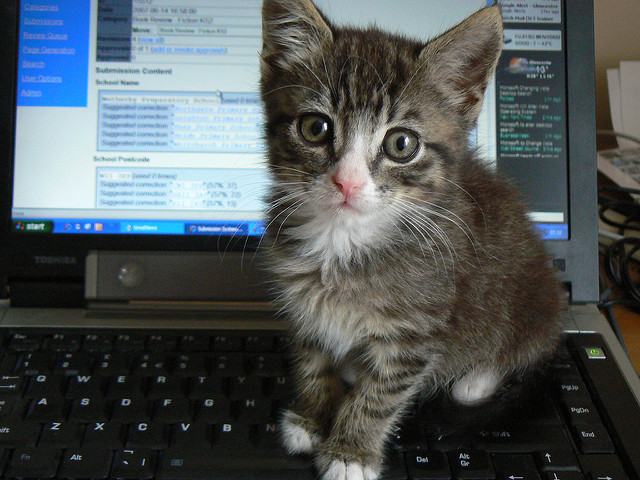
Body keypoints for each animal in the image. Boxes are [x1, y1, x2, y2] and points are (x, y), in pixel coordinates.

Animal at [258, 1, 564, 478]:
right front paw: (311, 417)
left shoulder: (418, 328)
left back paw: (476, 380)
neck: (344, 242)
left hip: (531, 303)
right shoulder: (302, 303)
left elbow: (382, 393)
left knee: (523, 352)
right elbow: (312, 359)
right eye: (314, 128)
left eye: (402, 144)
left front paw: (350, 452)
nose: (346, 183)